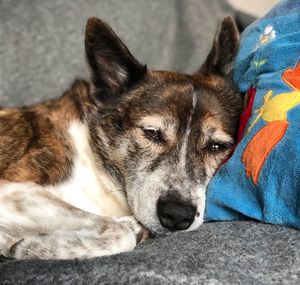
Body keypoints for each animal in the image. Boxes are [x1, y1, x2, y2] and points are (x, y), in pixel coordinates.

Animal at [0, 16, 243, 258]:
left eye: (216, 146)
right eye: (151, 133)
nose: (177, 215)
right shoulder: (14, 191)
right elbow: (121, 234)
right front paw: (30, 247)